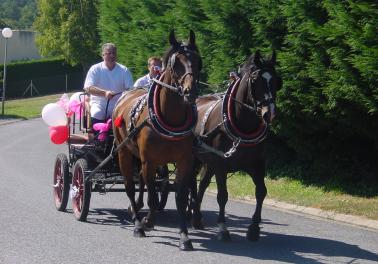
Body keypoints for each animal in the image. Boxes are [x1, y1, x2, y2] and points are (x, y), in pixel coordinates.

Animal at [112, 29, 201, 251]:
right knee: (129, 186)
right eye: (176, 63)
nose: (190, 92)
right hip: (124, 152)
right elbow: (152, 195)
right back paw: (137, 222)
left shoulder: (184, 162)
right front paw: (148, 222)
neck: (170, 118)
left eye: (197, 61)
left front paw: (184, 236)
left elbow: (180, 198)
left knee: (142, 182)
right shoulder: (149, 161)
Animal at [192, 50, 280, 241]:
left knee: (202, 185)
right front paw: (223, 228)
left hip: (208, 163)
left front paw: (254, 228)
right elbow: (222, 196)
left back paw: (197, 218)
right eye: (255, 80)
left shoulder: (257, 164)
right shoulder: (221, 165)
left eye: (277, 81)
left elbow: (261, 192)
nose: (269, 113)